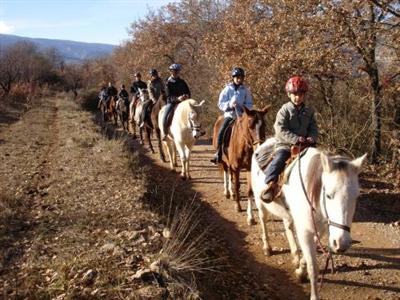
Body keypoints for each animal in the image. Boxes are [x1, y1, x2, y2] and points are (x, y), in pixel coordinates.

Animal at [252, 140, 368, 300]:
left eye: (356, 197)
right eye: (329, 195)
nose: (342, 243)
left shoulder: (320, 230)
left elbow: (307, 257)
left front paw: (300, 271)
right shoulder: (305, 230)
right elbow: (313, 267)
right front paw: (313, 292)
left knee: (288, 226)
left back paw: (295, 255)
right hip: (260, 203)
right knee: (263, 222)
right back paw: (267, 248)